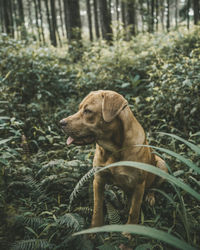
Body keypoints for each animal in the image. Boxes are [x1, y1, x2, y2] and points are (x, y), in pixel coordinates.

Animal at [59, 90, 167, 227]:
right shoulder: (98, 179)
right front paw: (95, 229)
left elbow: (134, 212)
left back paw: (150, 197)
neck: (114, 150)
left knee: (153, 187)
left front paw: (128, 232)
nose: (61, 123)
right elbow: (97, 208)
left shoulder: (139, 185)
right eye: (79, 108)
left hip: (162, 165)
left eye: (88, 111)